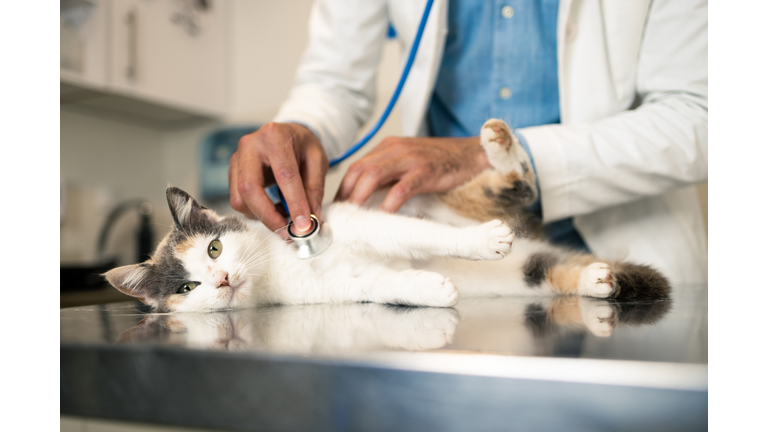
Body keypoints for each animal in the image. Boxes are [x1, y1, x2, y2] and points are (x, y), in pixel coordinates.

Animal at [105, 120, 668, 312]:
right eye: (187, 288)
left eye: (214, 247)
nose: (221, 279)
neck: (275, 266)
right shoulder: (334, 289)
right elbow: (380, 284)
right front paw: (431, 288)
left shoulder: (362, 220)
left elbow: (414, 234)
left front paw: (480, 244)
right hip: (526, 277)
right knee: (546, 268)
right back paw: (597, 279)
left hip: (444, 198)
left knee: (517, 185)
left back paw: (500, 144)